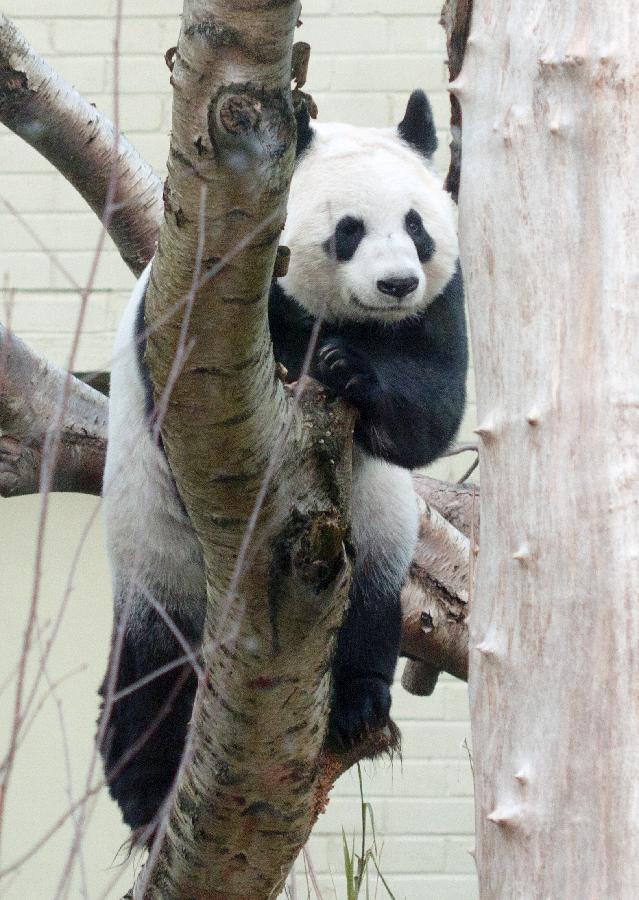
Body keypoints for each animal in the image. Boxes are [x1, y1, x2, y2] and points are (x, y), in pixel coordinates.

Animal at [101, 91, 470, 836]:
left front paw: (349, 369)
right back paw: (145, 796)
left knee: (368, 613)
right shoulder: (203, 307)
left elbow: (429, 408)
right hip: (154, 556)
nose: (397, 284)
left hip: (372, 546)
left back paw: (358, 702)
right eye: (349, 230)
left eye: (416, 226)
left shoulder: (439, 306)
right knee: (149, 676)